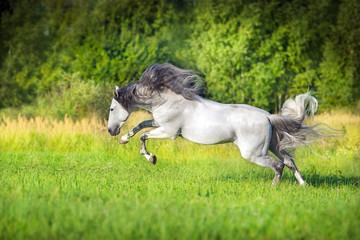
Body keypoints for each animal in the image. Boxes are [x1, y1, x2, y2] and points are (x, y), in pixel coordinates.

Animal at [107, 62, 320, 185]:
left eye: (111, 109)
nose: (111, 131)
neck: (167, 100)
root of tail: (268, 116)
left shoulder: (169, 132)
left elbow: (143, 135)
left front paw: (151, 158)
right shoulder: (159, 122)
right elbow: (141, 125)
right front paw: (124, 140)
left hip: (254, 153)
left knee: (278, 166)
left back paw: (273, 188)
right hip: (274, 146)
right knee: (289, 161)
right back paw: (303, 185)